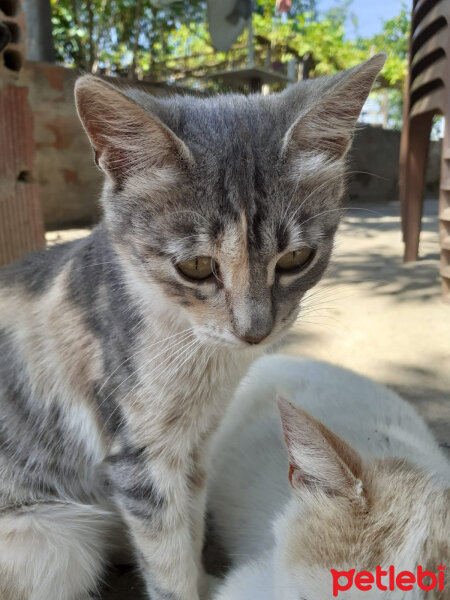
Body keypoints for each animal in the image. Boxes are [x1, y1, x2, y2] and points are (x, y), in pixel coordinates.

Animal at [0, 54, 384, 596]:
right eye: (197, 267)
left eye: (297, 258)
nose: (255, 331)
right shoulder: (140, 458)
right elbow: (166, 555)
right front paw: (184, 583)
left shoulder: (198, 446)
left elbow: (192, 524)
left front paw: (206, 578)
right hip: (53, 543)